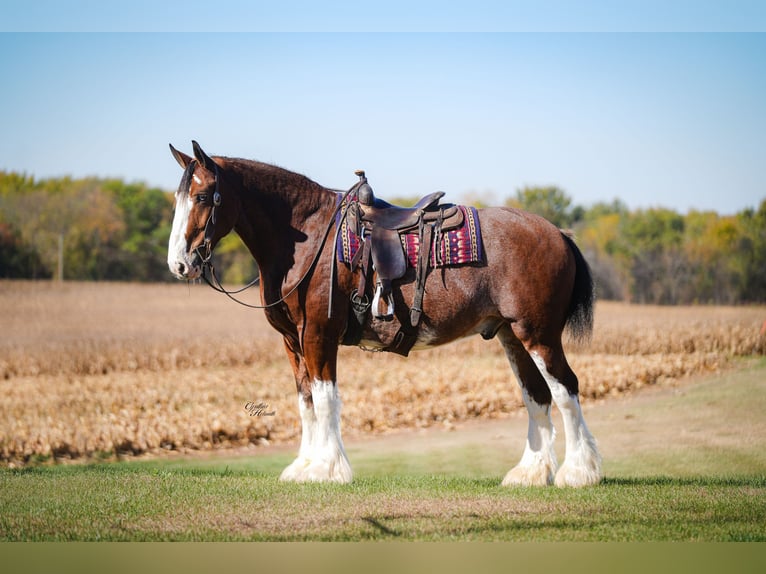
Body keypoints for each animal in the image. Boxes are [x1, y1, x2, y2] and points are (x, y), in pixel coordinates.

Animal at [166, 141, 602, 487]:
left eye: (202, 197)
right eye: (177, 199)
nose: (179, 264)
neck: (309, 237)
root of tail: (558, 233)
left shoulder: (318, 335)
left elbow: (325, 400)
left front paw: (327, 469)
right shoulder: (293, 341)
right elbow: (305, 402)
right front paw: (303, 467)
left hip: (539, 335)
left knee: (566, 390)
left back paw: (579, 472)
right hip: (512, 336)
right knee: (537, 396)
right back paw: (531, 473)